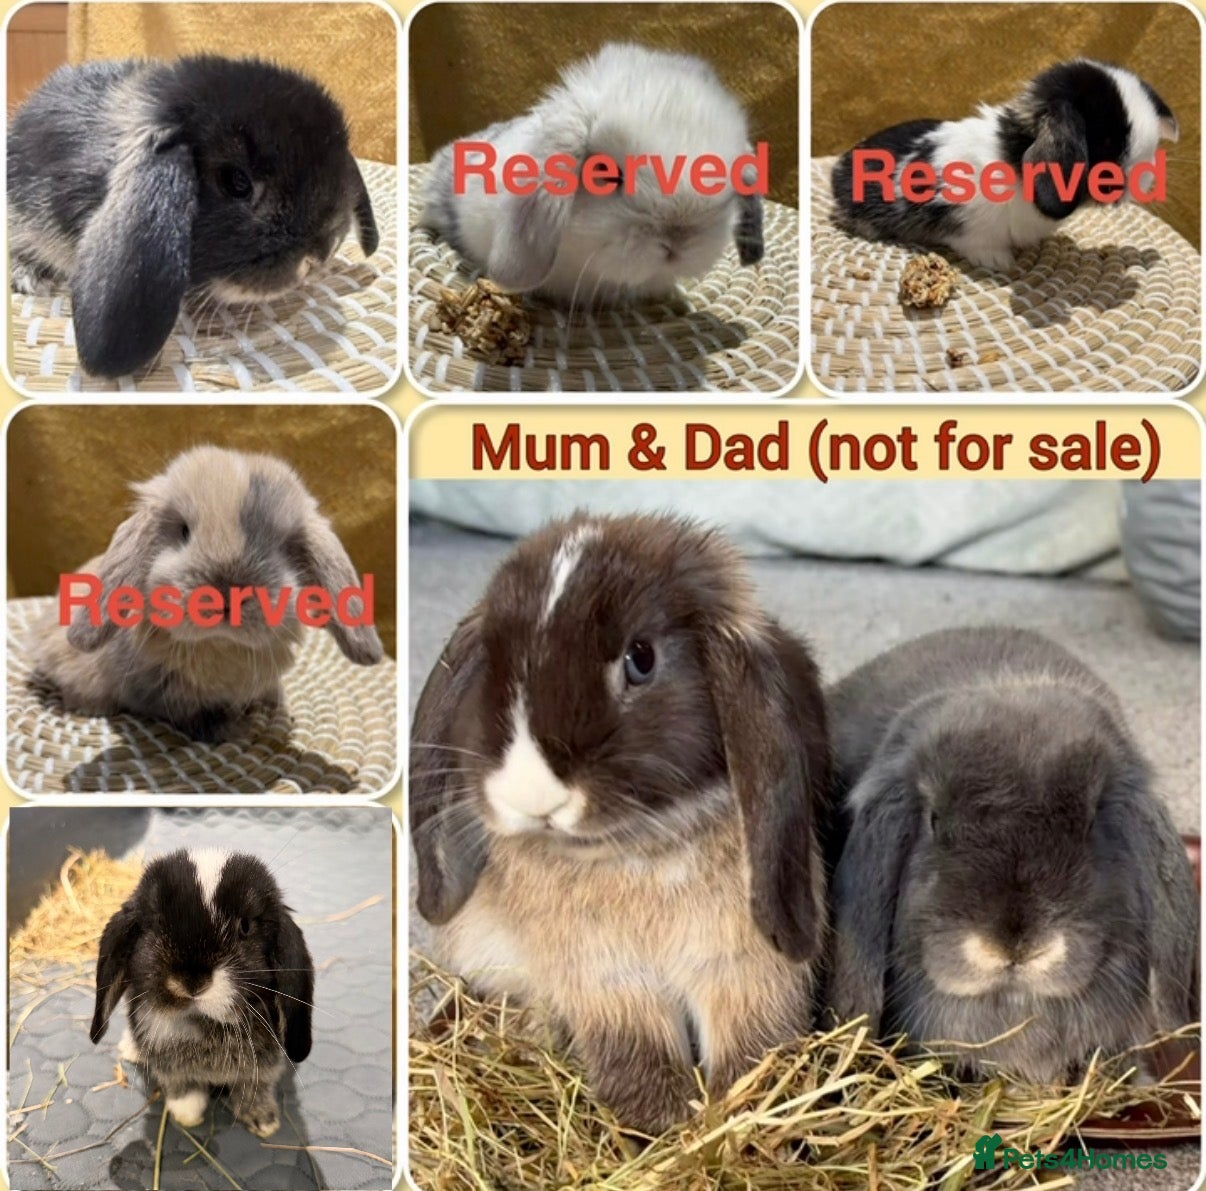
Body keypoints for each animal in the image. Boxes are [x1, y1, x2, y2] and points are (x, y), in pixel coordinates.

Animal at [31, 445, 384, 742]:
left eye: (284, 547)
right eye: (184, 531)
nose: (226, 596)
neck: (221, 645)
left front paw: (274, 704)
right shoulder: (160, 693)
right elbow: (196, 716)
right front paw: (239, 730)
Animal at [91, 847, 314, 1137]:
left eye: (244, 926)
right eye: (157, 922)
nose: (192, 981)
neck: (204, 1024)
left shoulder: (262, 1068)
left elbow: (255, 1087)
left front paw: (264, 1121)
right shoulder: (169, 1066)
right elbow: (180, 1086)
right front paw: (188, 1114)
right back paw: (130, 1049)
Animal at [411, 513, 831, 1134]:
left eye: (642, 658)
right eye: (494, 663)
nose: (532, 793)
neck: (636, 850)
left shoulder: (745, 973)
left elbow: (749, 1050)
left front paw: (734, 1121)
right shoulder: (610, 986)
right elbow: (639, 1058)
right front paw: (664, 1129)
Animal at [831, 60, 1178, 272]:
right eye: (1107, 141)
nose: (1147, 178)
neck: (1013, 155)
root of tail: (839, 166)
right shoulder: (967, 223)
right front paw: (999, 262)